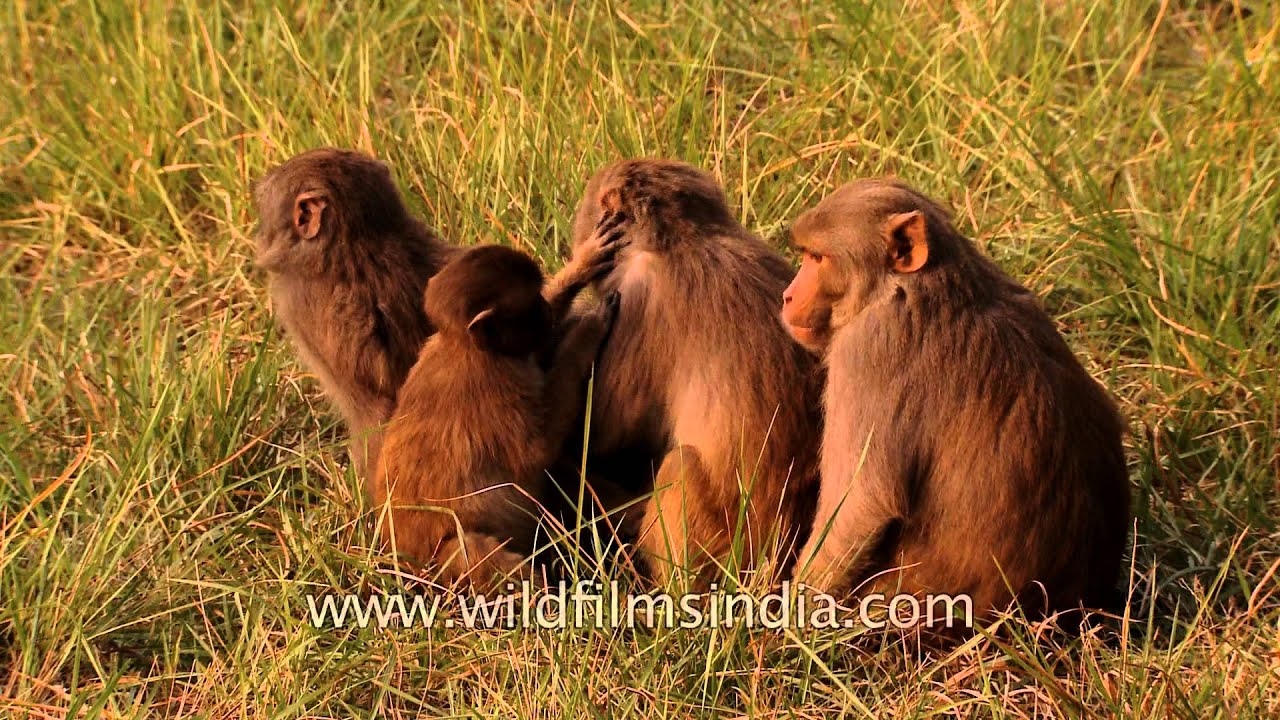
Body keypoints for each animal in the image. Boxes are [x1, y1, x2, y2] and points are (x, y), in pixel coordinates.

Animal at [372, 239, 622, 588]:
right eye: (532, 306)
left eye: (540, 296)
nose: (545, 312)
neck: (465, 345)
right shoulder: (497, 388)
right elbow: (536, 451)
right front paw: (588, 329)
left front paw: (581, 265)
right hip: (440, 566)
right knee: (466, 550)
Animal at [562, 158, 824, 587]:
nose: (578, 235)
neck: (685, 239)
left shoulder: (636, 301)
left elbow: (598, 439)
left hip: (716, 549)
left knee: (680, 466)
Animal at [780, 178, 1130, 620]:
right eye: (806, 255)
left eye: (818, 257)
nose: (789, 295)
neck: (909, 288)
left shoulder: (867, 350)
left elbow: (862, 504)